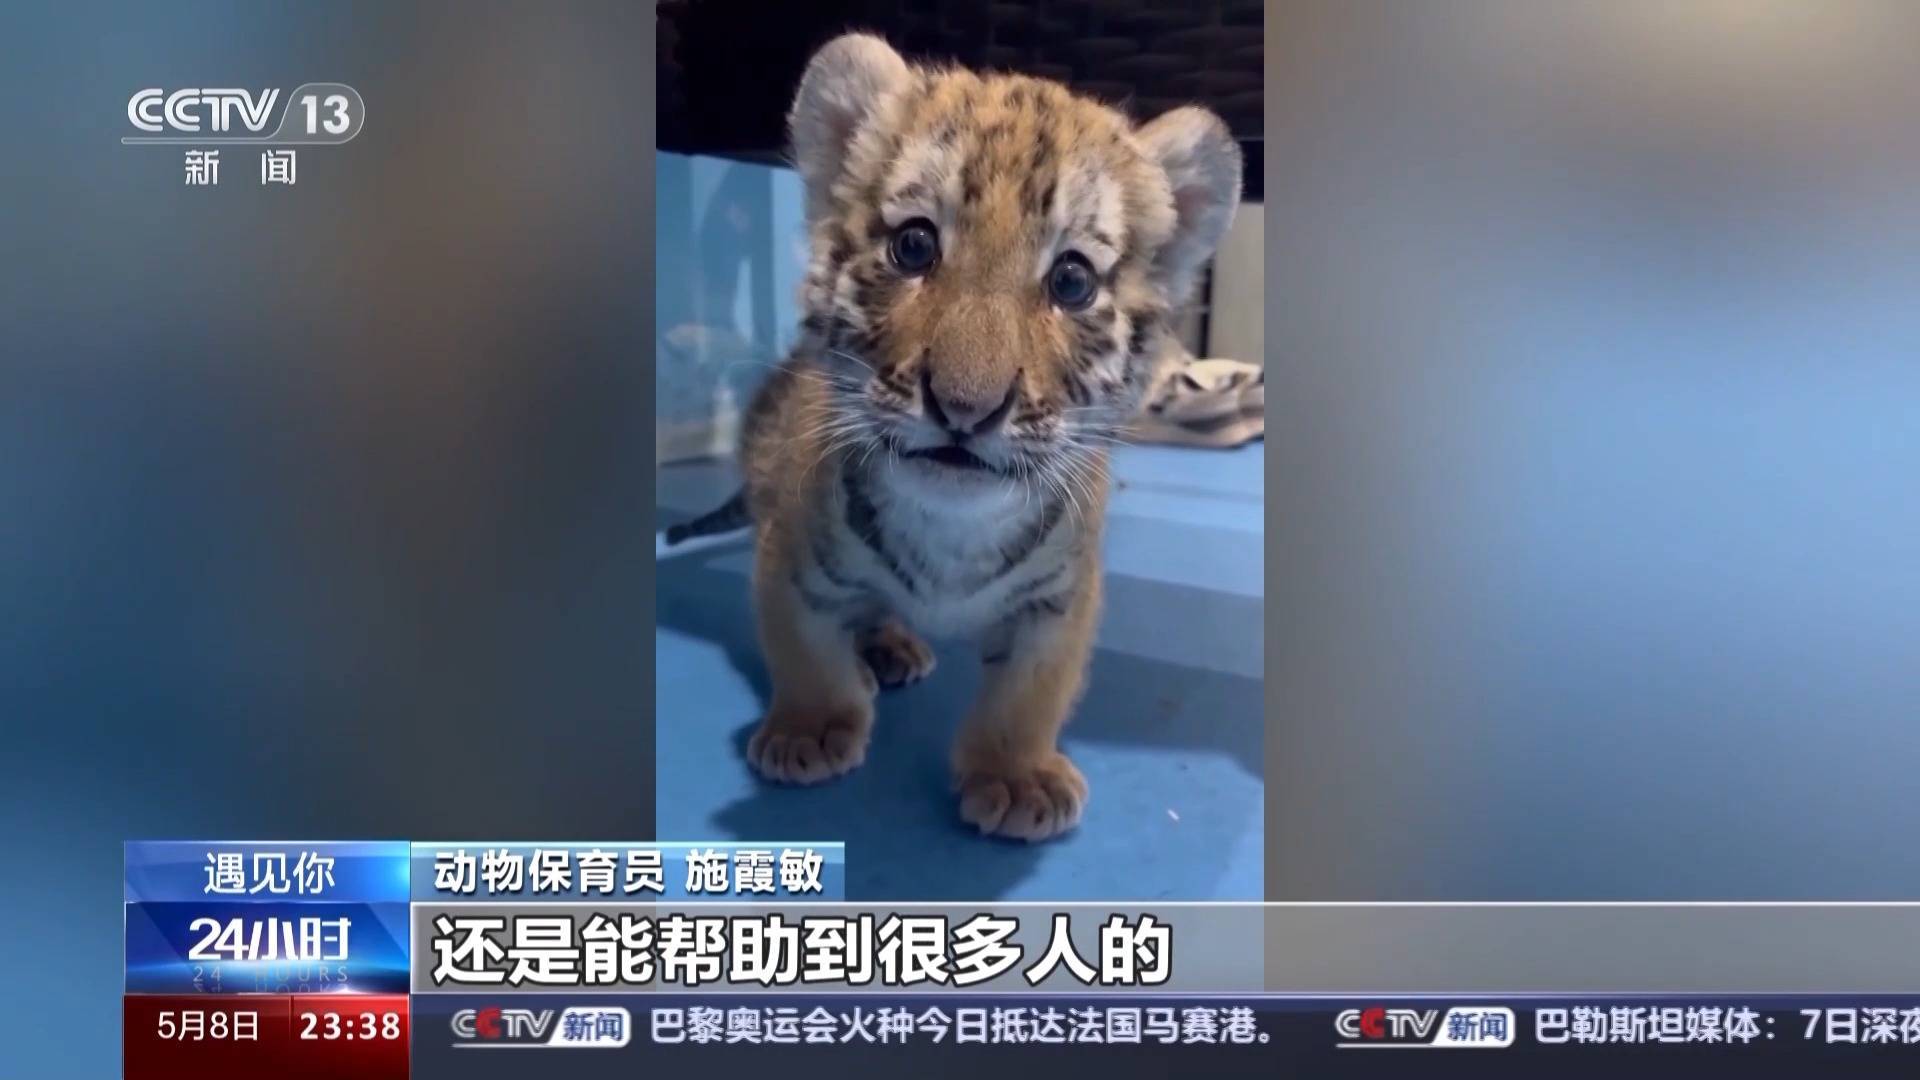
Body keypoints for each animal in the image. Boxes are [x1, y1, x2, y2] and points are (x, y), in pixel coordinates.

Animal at [670, 33, 1242, 841]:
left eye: (1072, 282)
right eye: (914, 246)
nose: (966, 409)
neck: (951, 531)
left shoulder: (1062, 598)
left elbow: (1031, 693)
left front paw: (1017, 778)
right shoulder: (789, 555)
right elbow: (806, 652)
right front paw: (810, 730)